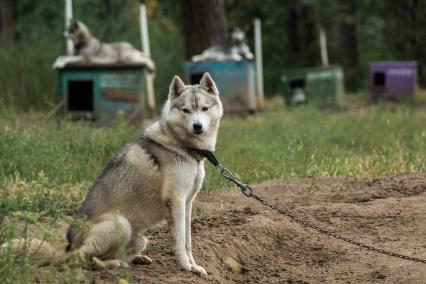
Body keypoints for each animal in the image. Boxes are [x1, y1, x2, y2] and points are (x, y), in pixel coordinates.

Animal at [1, 72, 223, 276]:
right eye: (186, 110)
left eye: (204, 108)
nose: (197, 126)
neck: (183, 146)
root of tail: (67, 248)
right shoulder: (176, 201)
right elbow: (180, 242)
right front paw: (187, 268)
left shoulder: (187, 203)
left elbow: (188, 240)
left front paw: (194, 265)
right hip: (120, 224)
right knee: (83, 260)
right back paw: (113, 264)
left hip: (140, 238)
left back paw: (135, 259)